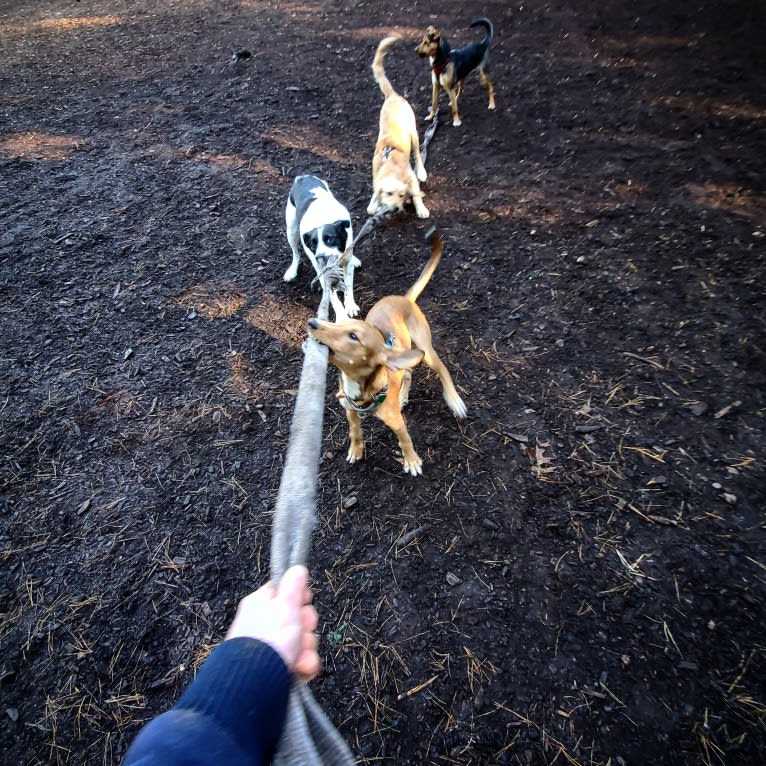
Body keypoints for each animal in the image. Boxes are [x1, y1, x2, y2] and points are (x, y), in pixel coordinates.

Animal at [284, 176, 364, 318]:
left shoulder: (346, 263)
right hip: (292, 231)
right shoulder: (323, 273)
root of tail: (303, 177)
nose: (320, 258)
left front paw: (350, 306)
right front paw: (342, 318)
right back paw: (292, 271)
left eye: (330, 239)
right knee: (295, 253)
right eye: (313, 244)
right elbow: (333, 298)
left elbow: (348, 285)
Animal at [308, 231, 464, 476]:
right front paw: (356, 450)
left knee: (442, 370)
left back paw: (455, 401)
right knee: (407, 373)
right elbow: (355, 432)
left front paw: (411, 461)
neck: (359, 390)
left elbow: (405, 439)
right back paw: (401, 396)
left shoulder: (397, 422)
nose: (312, 322)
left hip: (426, 349)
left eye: (354, 336)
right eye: (336, 324)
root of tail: (405, 299)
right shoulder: (350, 412)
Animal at [368, 36, 432, 219]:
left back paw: (421, 171)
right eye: (388, 193)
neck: (391, 167)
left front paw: (421, 208)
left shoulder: (411, 179)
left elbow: (416, 194)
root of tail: (393, 95)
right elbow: (371, 205)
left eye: (401, 195)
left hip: (414, 134)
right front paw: (374, 205)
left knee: (417, 154)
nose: (395, 208)